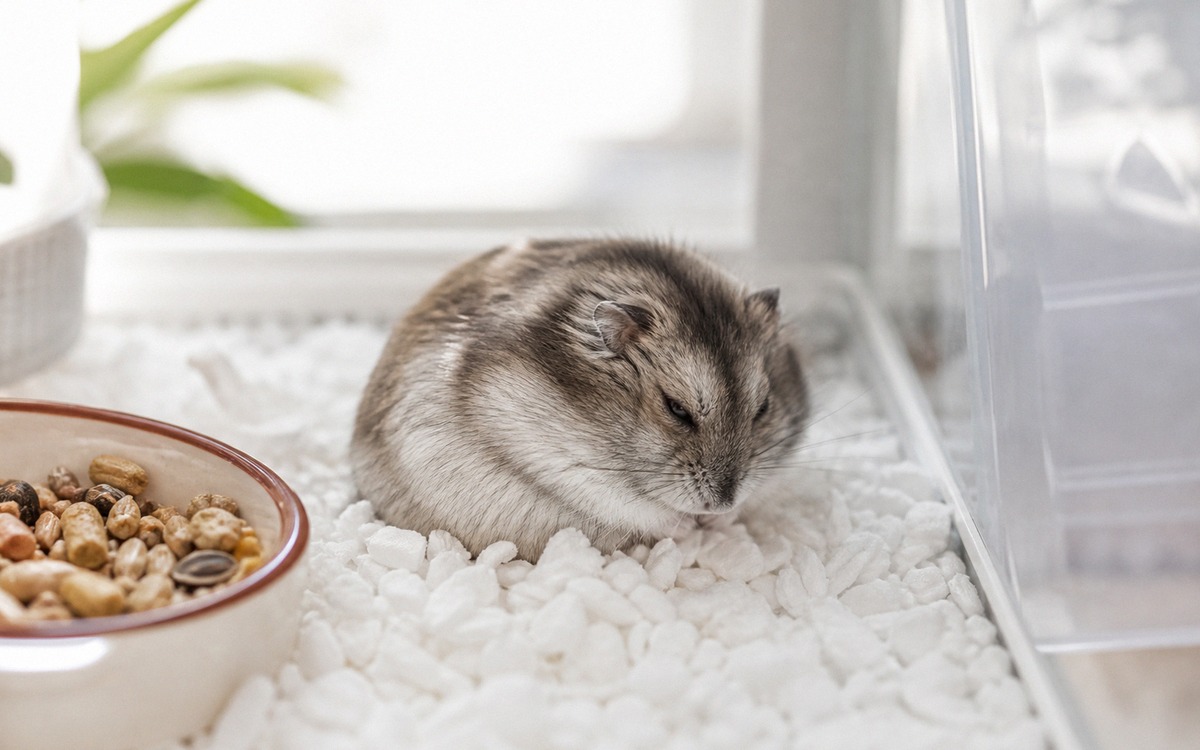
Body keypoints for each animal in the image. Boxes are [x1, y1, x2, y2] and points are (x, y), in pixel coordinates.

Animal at [351, 238, 809, 560]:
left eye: (763, 408)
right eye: (676, 409)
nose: (722, 504)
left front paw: (723, 520)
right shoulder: (558, 462)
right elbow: (636, 508)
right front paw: (691, 526)